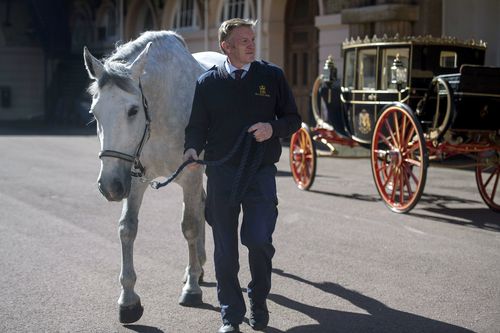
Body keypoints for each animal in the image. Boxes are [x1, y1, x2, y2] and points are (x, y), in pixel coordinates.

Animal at [83, 30, 225, 322]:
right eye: (94, 112)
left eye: (133, 110)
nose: (109, 186)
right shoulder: (135, 178)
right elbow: (127, 228)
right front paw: (128, 300)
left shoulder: (191, 173)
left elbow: (190, 225)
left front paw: (191, 290)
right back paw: (199, 265)